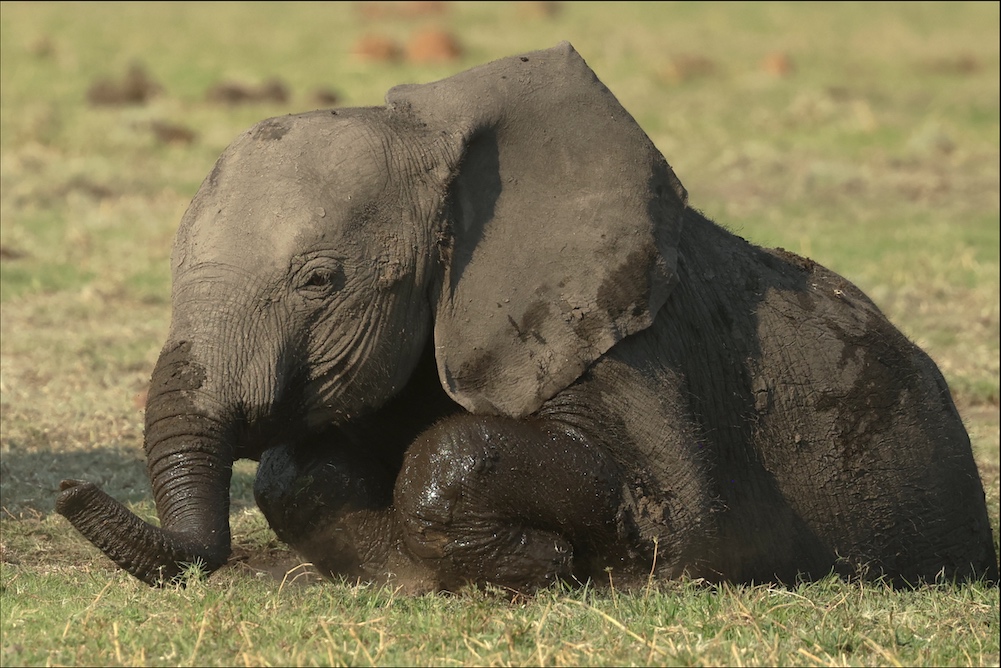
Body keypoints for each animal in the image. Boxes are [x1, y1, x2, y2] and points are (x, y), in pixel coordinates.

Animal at [56, 42, 998, 592]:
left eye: (319, 280)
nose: (67, 488)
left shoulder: (624, 349)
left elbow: (677, 518)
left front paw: (550, 563)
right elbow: (301, 474)